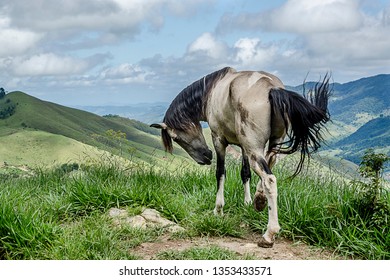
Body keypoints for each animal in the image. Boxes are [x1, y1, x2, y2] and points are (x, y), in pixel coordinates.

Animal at [151, 67, 330, 247]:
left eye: (175, 138)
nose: (206, 157)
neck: (212, 90)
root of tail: (271, 89)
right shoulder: (244, 147)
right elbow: (245, 173)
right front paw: (249, 202)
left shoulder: (218, 140)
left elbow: (220, 173)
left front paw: (218, 209)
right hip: (271, 144)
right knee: (268, 166)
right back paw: (260, 200)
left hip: (254, 149)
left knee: (269, 179)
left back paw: (269, 233)